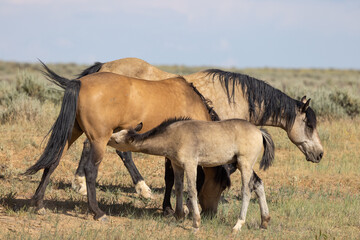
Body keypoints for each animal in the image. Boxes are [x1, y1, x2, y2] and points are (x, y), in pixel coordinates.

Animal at [108, 118, 274, 232]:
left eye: (116, 140)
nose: (106, 139)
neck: (175, 136)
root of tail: (259, 131)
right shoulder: (177, 165)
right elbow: (178, 188)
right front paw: (178, 216)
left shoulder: (191, 164)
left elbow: (192, 191)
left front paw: (196, 223)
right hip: (241, 165)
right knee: (258, 184)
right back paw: (264, 221)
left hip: (245, 164)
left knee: (246, 190)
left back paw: (238, 225)